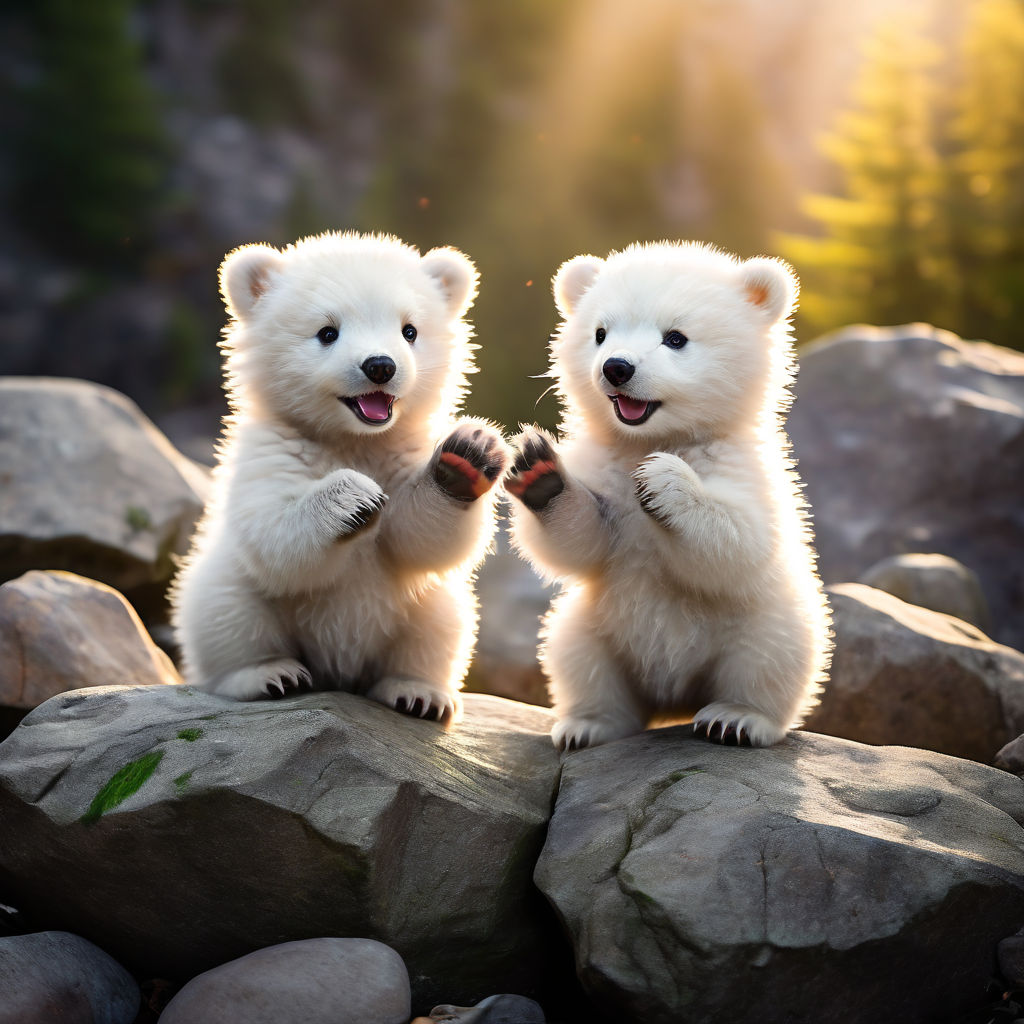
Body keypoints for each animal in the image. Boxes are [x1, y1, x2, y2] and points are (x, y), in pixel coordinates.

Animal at [170, 231, 508, 721]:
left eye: (410, 330)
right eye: (327, 332)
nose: (380, 366)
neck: (356, 440)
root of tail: (341, 671)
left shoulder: (401, 451)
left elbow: (422, 541)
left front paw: (468, 454)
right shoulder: (271, 448)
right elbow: (272, 535)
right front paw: (354, 497)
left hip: (418, 609)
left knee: (441, 621)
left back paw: (417, 693)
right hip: (228, 584)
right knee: (225, 611)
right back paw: (271, 675)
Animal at [504, 241, 832, 750]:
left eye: (675, 337)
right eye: (600, 332)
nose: (617, 367)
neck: (651, 438)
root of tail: (674, 699)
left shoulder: (749, 471)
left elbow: (744, 542)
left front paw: (663, 480)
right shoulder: (605, 470)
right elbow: (580, 546)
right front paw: (541, 472)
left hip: (760, 618)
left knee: (772, 654)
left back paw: (735, 719)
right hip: (597, 623)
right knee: (574, 653)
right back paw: (588, 725)